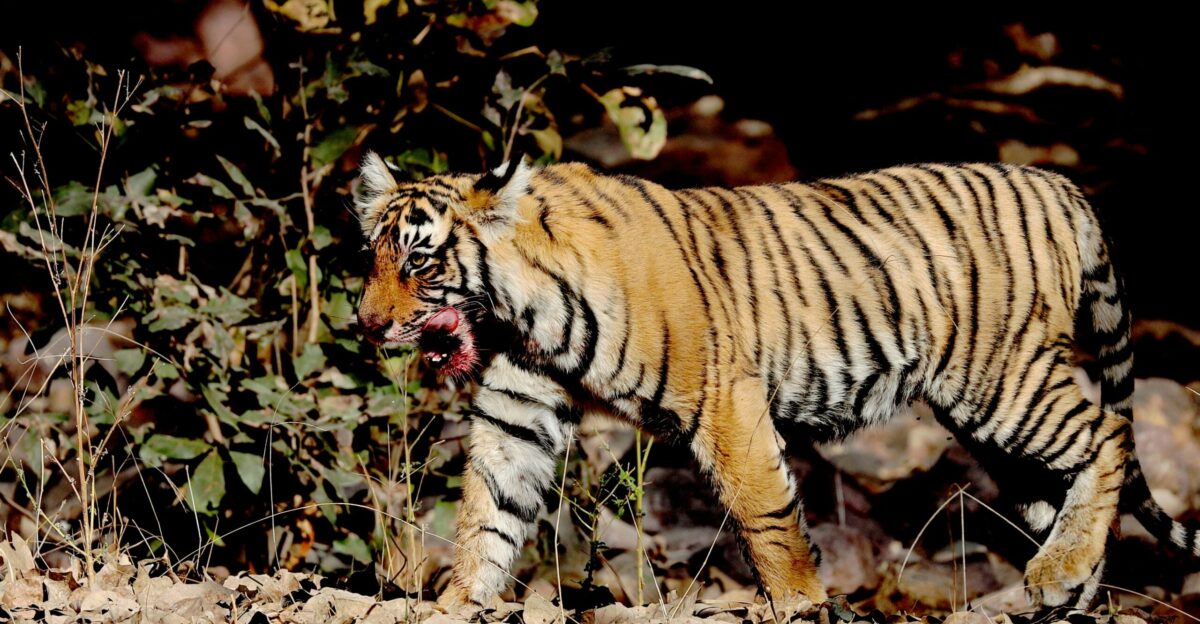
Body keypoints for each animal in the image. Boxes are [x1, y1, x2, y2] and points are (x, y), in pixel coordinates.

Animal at [353, 152, 1199, 613]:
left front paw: (798, 602)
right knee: (1066, 482)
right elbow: (487, 513)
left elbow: (767, 514)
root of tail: (1058, 183)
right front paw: (457, 602)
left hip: (999, 381)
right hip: (994, 421)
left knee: (1110, 434)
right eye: (374, 255)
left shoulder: (723, 397)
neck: (520, 312)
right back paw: (1068, 592)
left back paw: (1060, 573)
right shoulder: (518, 408)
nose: (366, 323)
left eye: (420, 261)